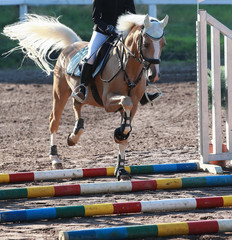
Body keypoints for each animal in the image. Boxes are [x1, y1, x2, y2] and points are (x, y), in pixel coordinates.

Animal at [2, 13, 168, 180]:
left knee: (77, 104)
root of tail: (72, 45)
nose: (154, 75)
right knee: (54, 120)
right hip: (59, 91)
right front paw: (119, 134)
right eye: (146, 43)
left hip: (81, 93)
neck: (128, 68)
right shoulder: (108, 102)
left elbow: (126, 132)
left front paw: (121, 169)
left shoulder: (134, 105)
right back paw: (55, 158)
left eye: (163, 44)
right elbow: (125, 102)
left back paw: (75, 135)